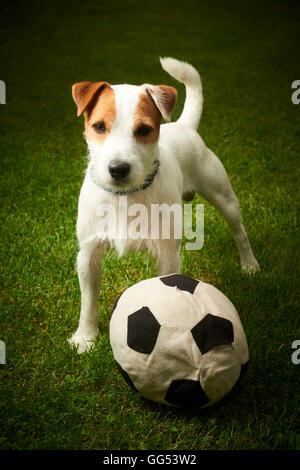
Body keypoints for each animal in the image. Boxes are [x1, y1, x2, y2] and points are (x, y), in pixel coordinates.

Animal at [69, 57, 258, 352]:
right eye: (99, 126)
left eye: (144, 130)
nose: (118, 169)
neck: (126, 197)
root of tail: (184, 126)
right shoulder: (88, 254)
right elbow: (88, 302)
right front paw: (85, 338)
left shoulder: (168, 255)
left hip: (224, 198)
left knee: (240, 232)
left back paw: (249, 264)